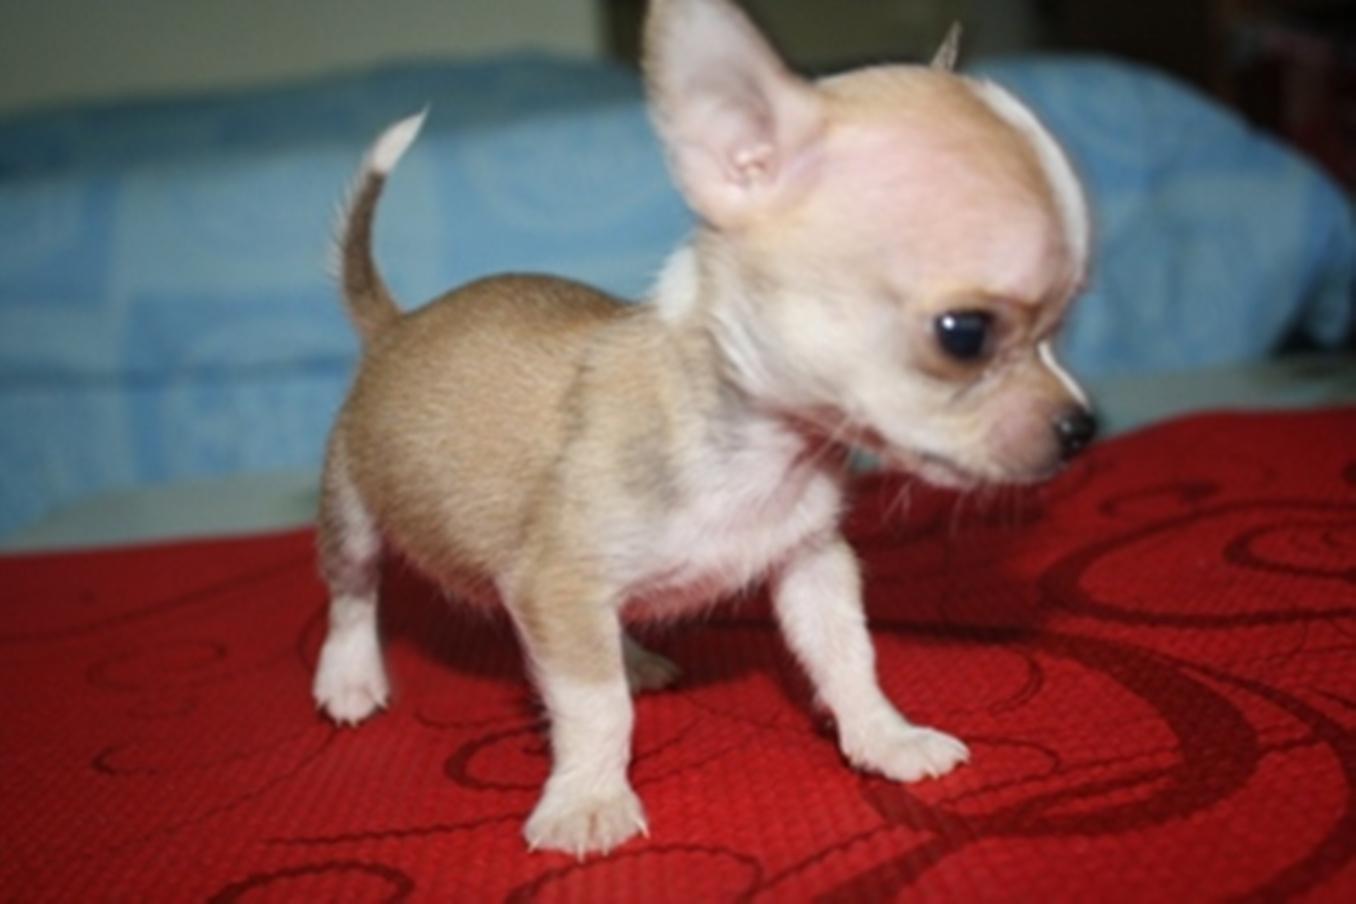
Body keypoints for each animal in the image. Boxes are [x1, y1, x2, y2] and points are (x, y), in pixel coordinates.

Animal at [312, 0, 1096, 858]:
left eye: (1064, 327)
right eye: (964, 335)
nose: (1081, 428)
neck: (758, 453)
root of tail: (395, 325)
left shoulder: (809, 562)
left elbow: (848, 657)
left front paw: (885, 739)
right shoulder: (555, 586)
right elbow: (595, 707)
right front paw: (589, 800)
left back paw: (633, 655)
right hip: (354, 508)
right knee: (353, 591)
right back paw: (349, 678)